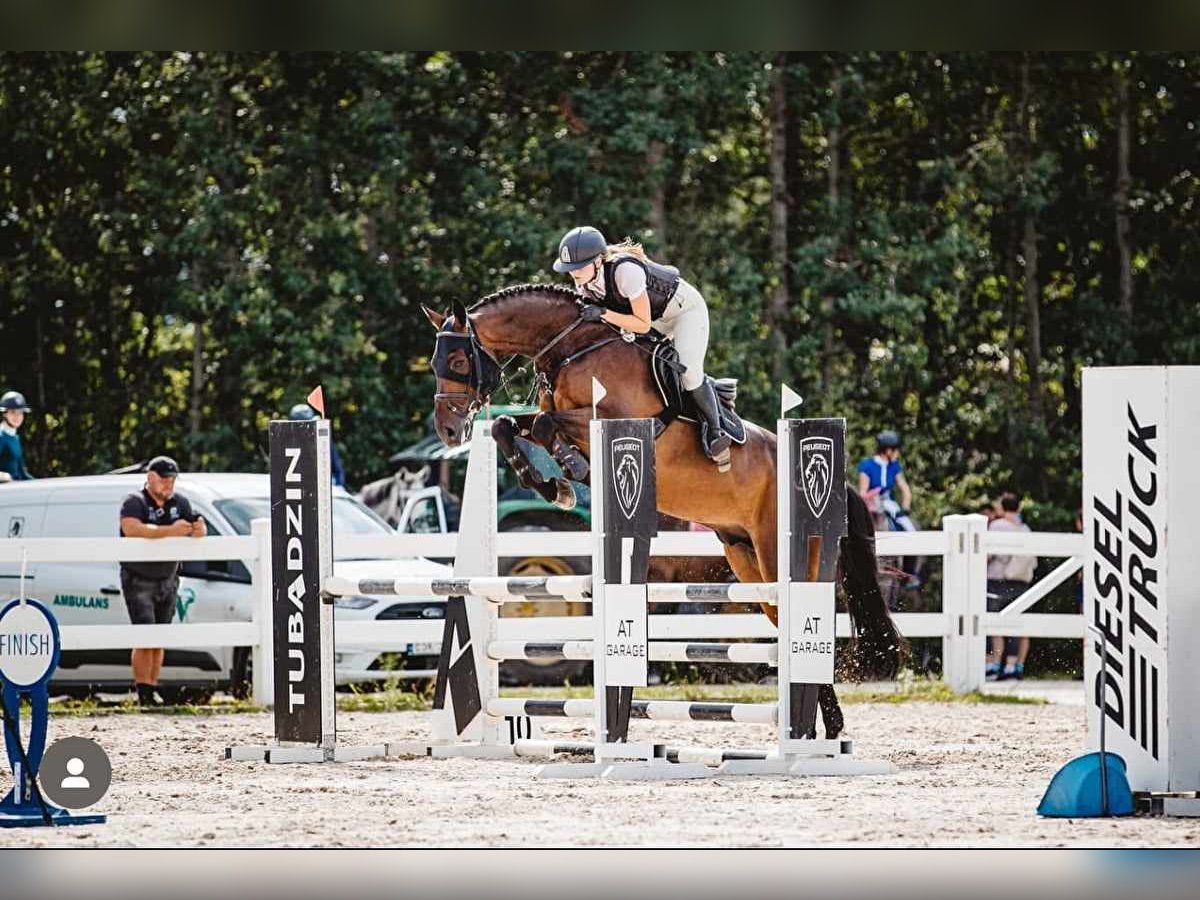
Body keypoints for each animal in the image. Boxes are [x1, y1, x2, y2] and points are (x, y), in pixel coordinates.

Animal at [422, 283, 902, 739]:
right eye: (433, 364)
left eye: (459, 361)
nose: (448, 430)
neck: (572, 348)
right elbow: (510, 425)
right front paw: (552, 484)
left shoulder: (614, 420)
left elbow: (543, 425)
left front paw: (571, 470)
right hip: (745, 557)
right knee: (783, 621)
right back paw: (826, 726)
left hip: (776, 553)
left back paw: (820, 730)